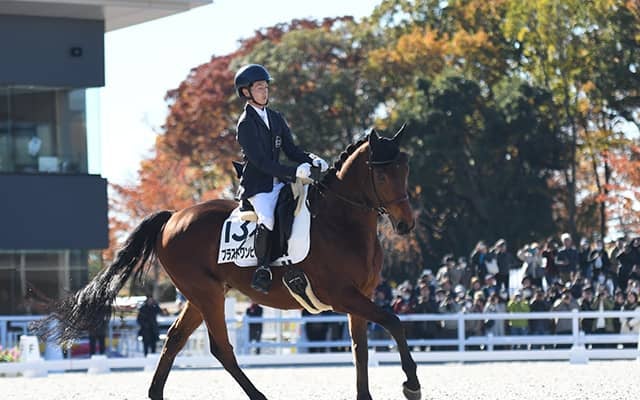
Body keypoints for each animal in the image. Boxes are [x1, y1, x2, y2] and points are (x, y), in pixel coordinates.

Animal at [34, 125, 421, 400]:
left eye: (406, 169)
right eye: (382, 175)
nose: (406, 225)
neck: (340, 222)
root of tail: (173, 217)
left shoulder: (359, 297)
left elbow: (361, 349)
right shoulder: (342, 295)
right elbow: (394, 322)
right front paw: (411, 385)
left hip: (200, 295)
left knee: (174, 339)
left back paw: (156, 393)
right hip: (207, 294)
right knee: (220, 348)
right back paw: (260, 397)